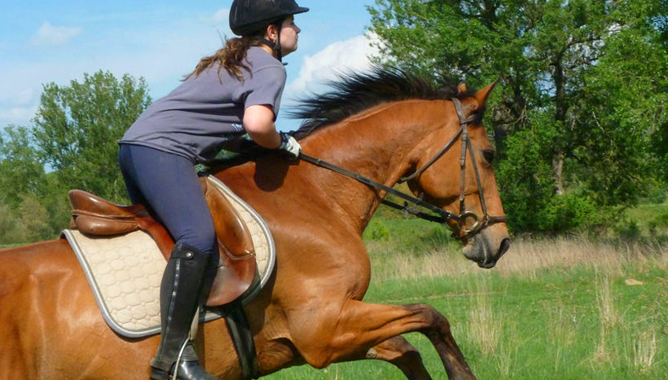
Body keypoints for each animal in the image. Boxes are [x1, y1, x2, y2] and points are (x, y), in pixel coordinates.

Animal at [0, 68, 508, 380]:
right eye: (488, 155)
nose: (499, 241)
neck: (315, 193)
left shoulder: (333, 331)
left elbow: (408, 348)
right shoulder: (324, 329)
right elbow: (431, 316)